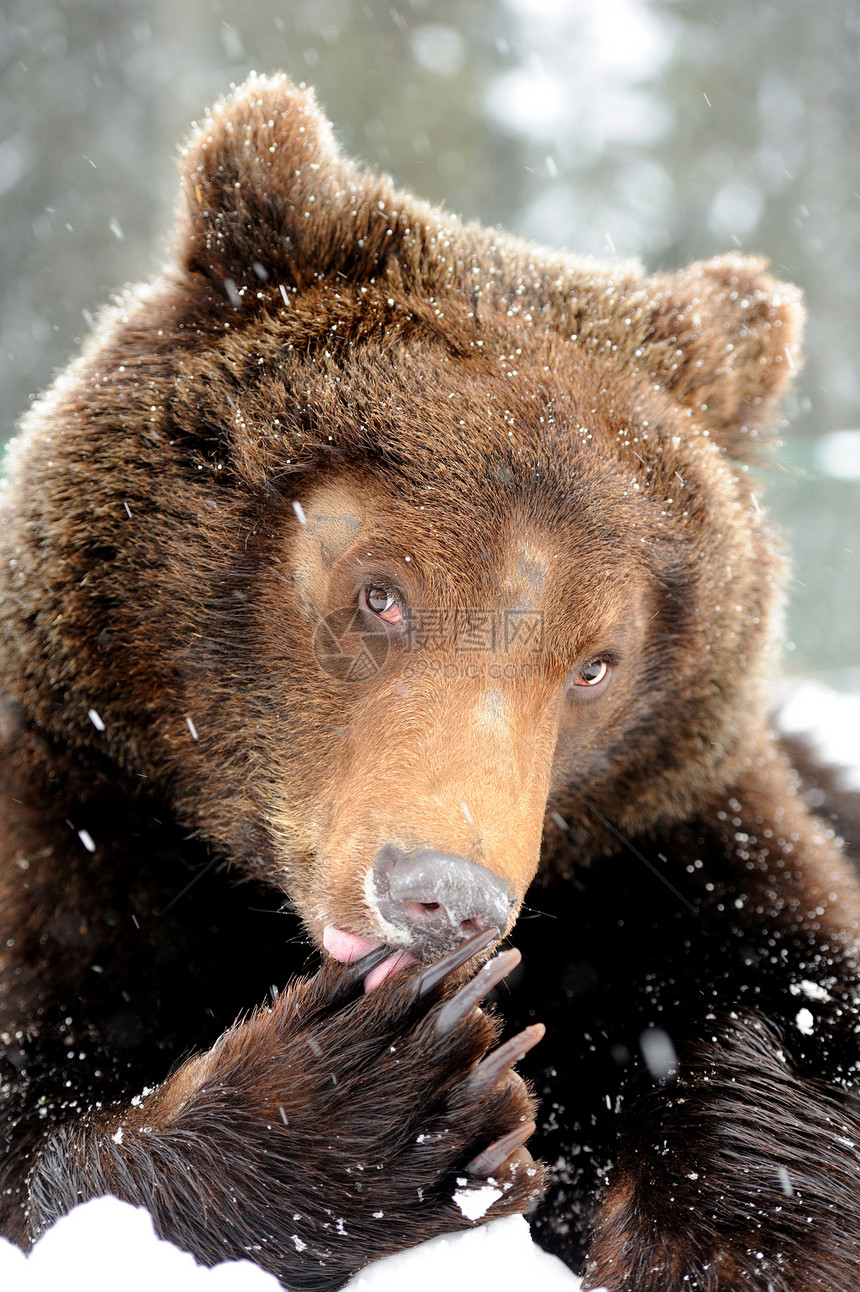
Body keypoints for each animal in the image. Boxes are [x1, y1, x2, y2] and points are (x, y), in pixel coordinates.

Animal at [1, 73, 857, 1292]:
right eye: (380, 593)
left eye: (595, 662)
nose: (444, 895)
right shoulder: (80, 837)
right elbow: (44, 1121)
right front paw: (394, 1088)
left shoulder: (683, 850)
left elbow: (791, 1039)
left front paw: (722, 1219)